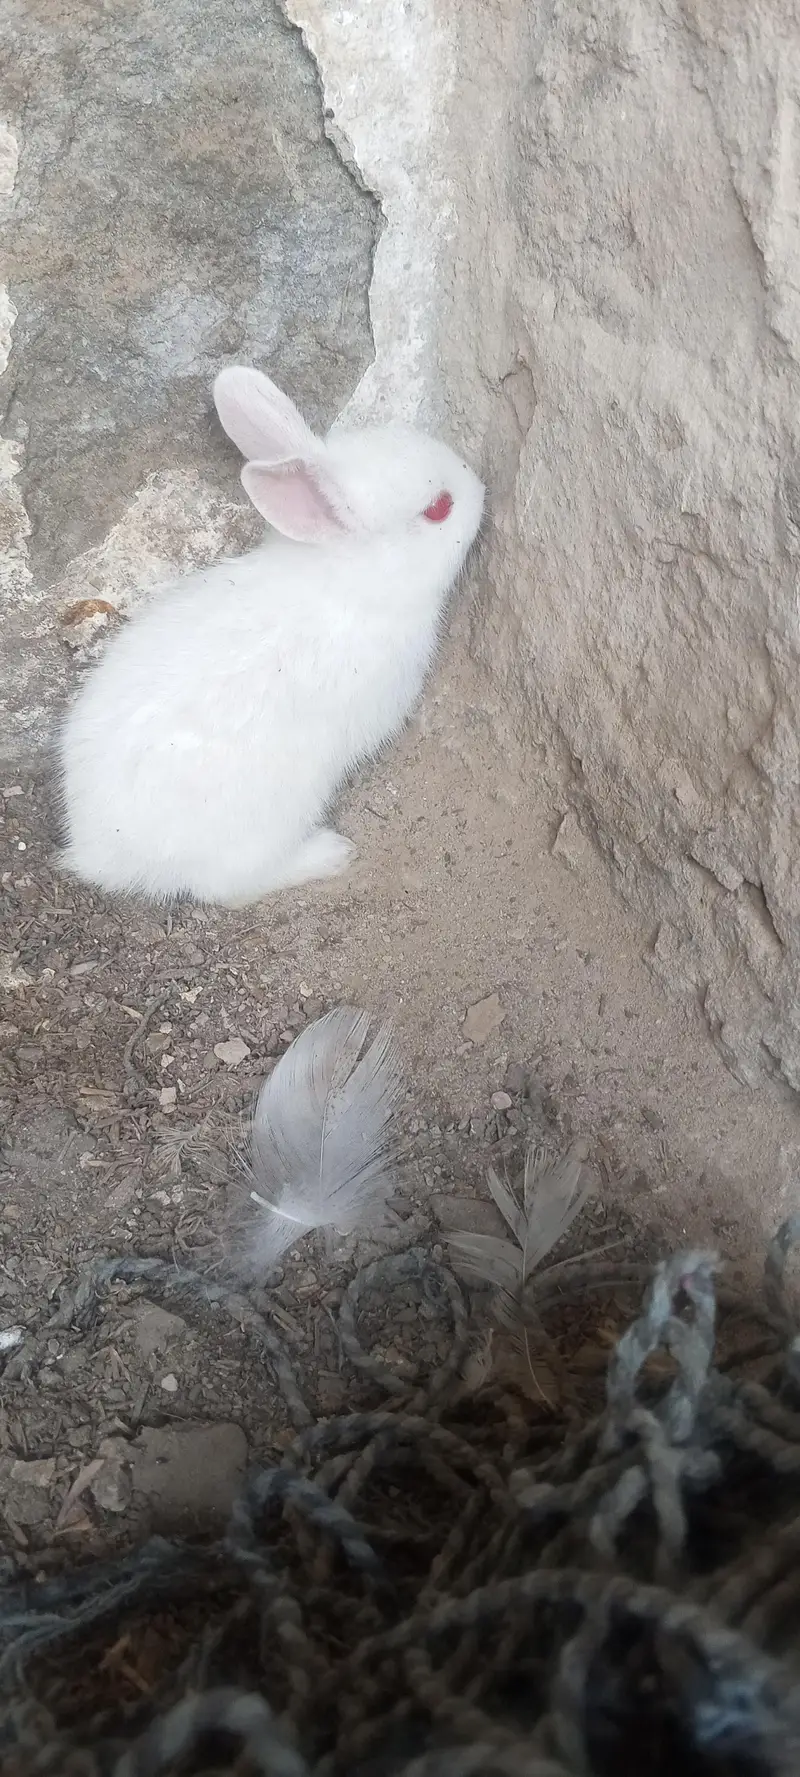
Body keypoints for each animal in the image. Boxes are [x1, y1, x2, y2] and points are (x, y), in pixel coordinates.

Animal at [58, 366, 485, 907]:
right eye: (439, 508)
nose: (482, 486)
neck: (351, 585)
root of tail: (100, 855)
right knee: (229, 888)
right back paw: (328, 854)